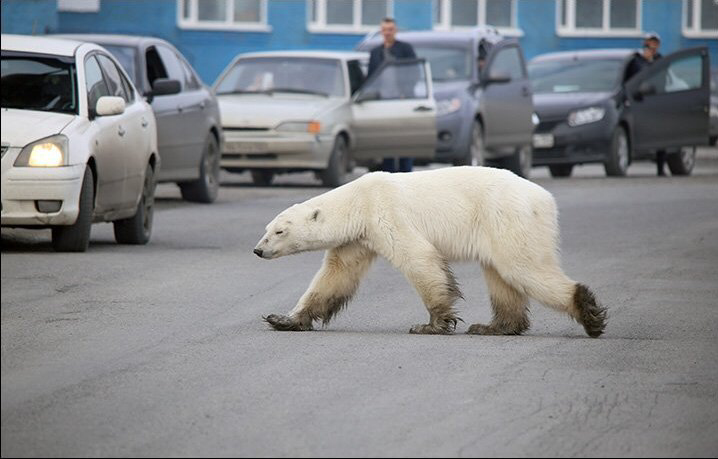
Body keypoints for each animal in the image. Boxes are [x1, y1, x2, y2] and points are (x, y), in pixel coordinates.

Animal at [253, 168, 608, 338]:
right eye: (267, 228)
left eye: (280, 231)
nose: (258, 250)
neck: (359, 200)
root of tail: (545, 198)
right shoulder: (358, 238)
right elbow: (336, 275)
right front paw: (283, 319)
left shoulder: (386, 213)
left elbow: (418, 258)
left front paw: (432, 324)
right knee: (500, 276)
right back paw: (493, 326)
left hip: (507, 217)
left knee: (523, 267)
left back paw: (589, 313)